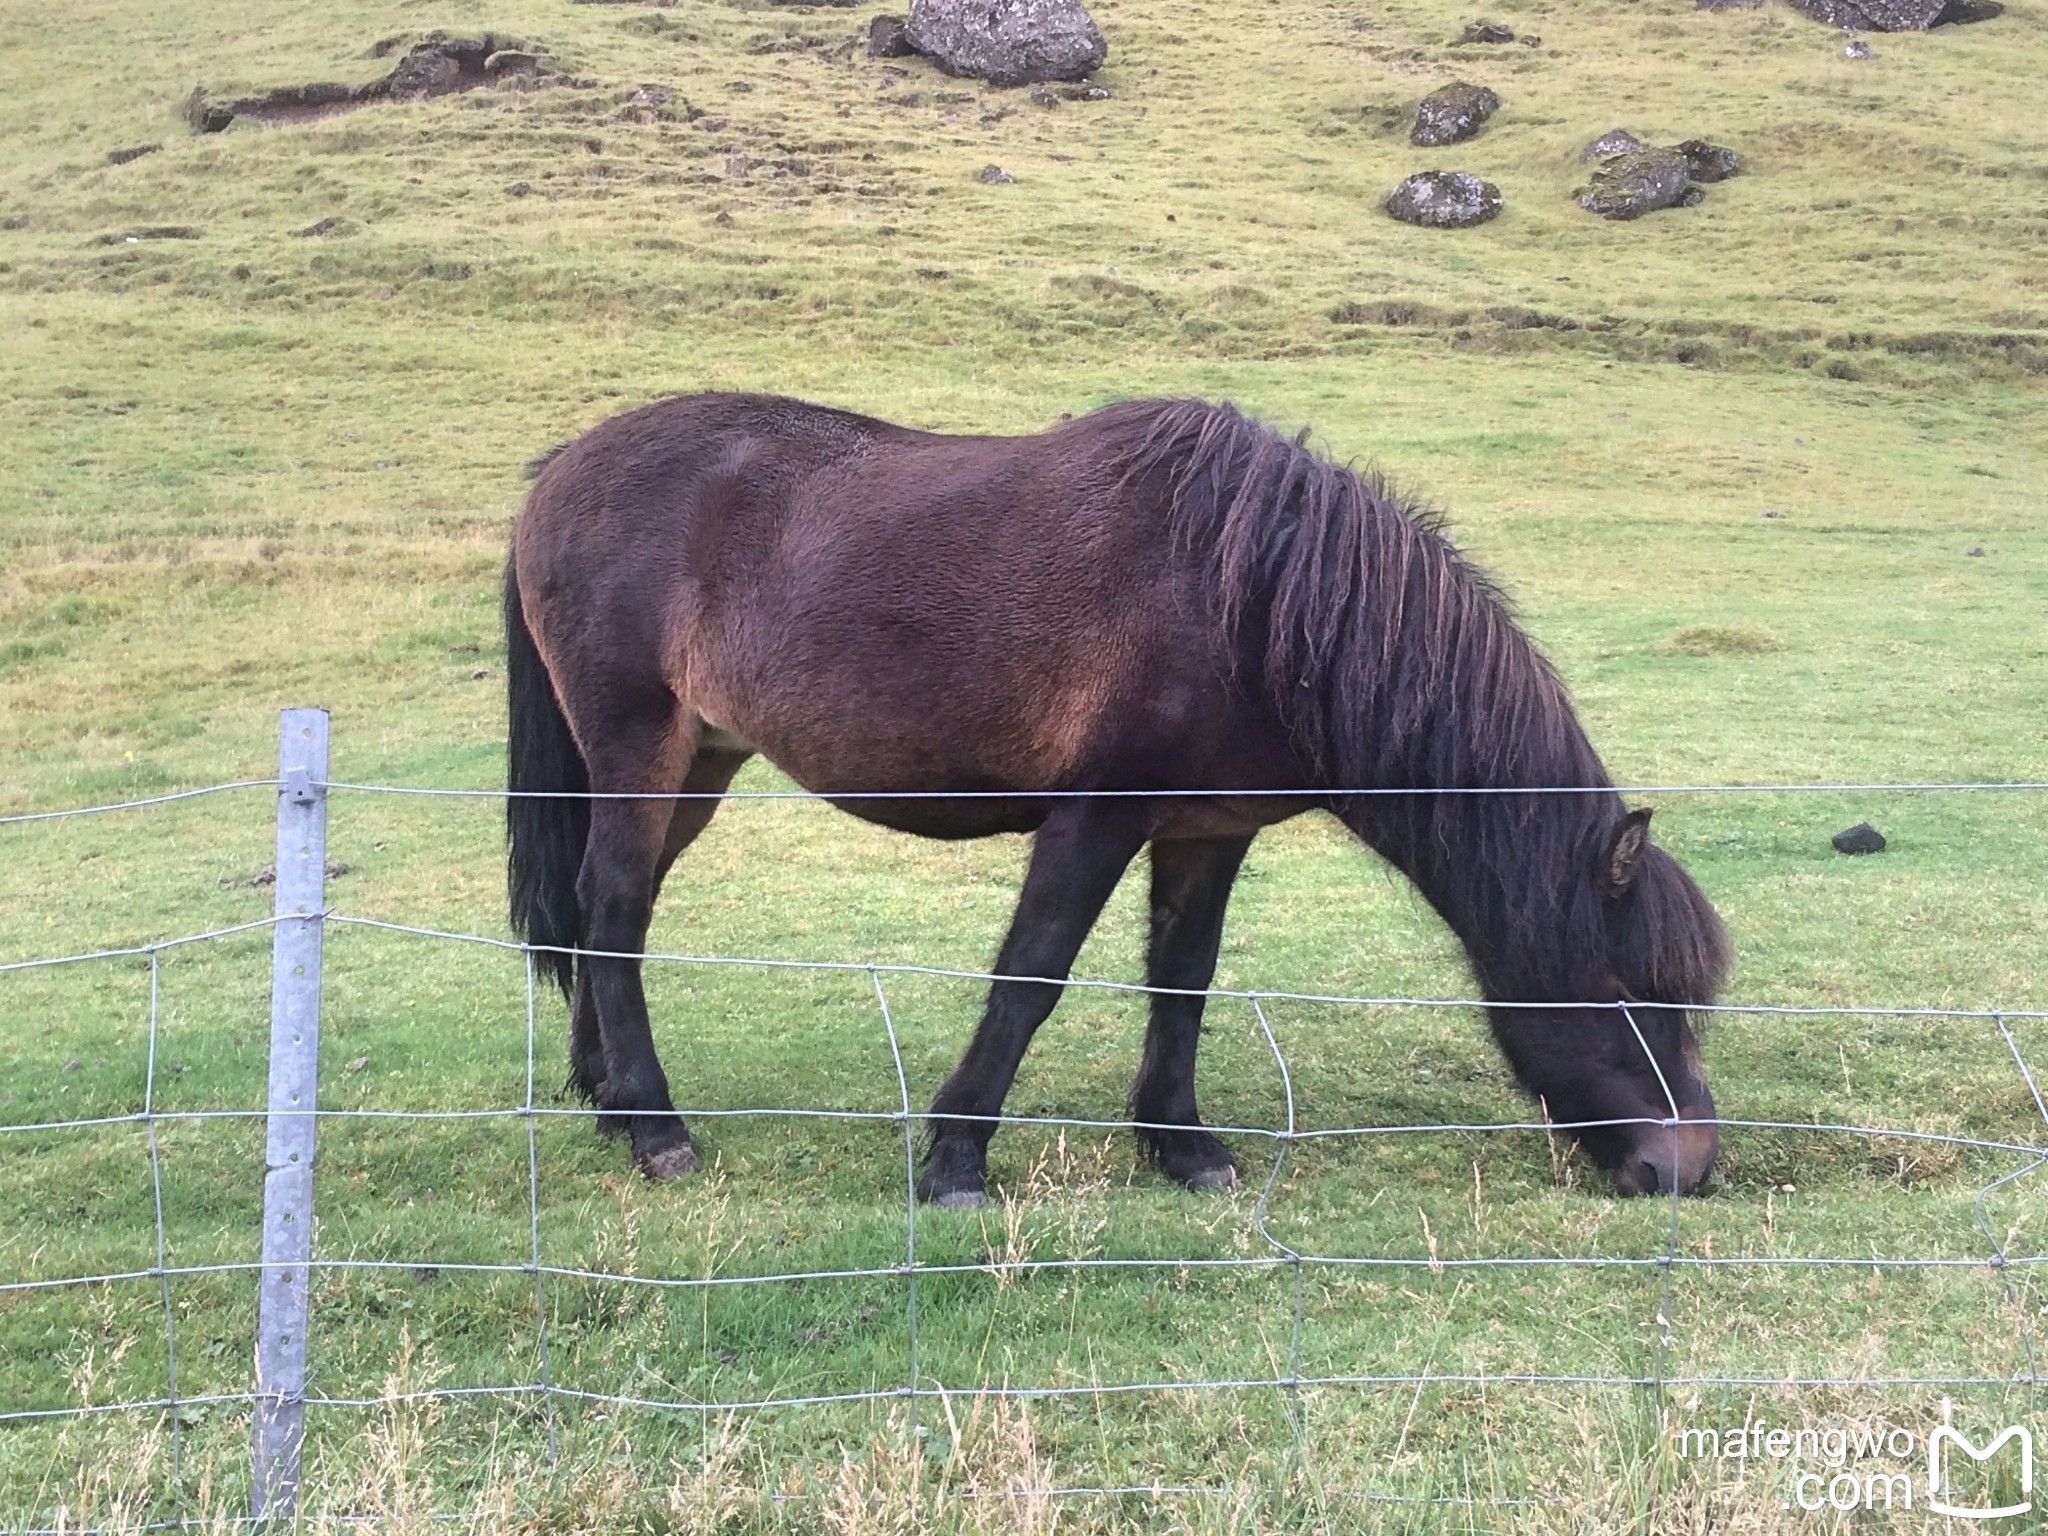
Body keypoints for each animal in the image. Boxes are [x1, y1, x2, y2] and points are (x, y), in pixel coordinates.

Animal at [507, 391, 1728, 1212]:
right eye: (1628, 989)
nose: (1686, 1166)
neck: (1254, 596)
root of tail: (563, 466)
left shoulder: (1207, 832)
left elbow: (1181, 984)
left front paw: (1178, 1145)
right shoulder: (1097, 815)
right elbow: (1029, 977)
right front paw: (956, 1159)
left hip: (701, 763)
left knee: (612, 912)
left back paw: (605, 1096)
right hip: (638, 740)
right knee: (613, 908)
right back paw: (655, 1129)